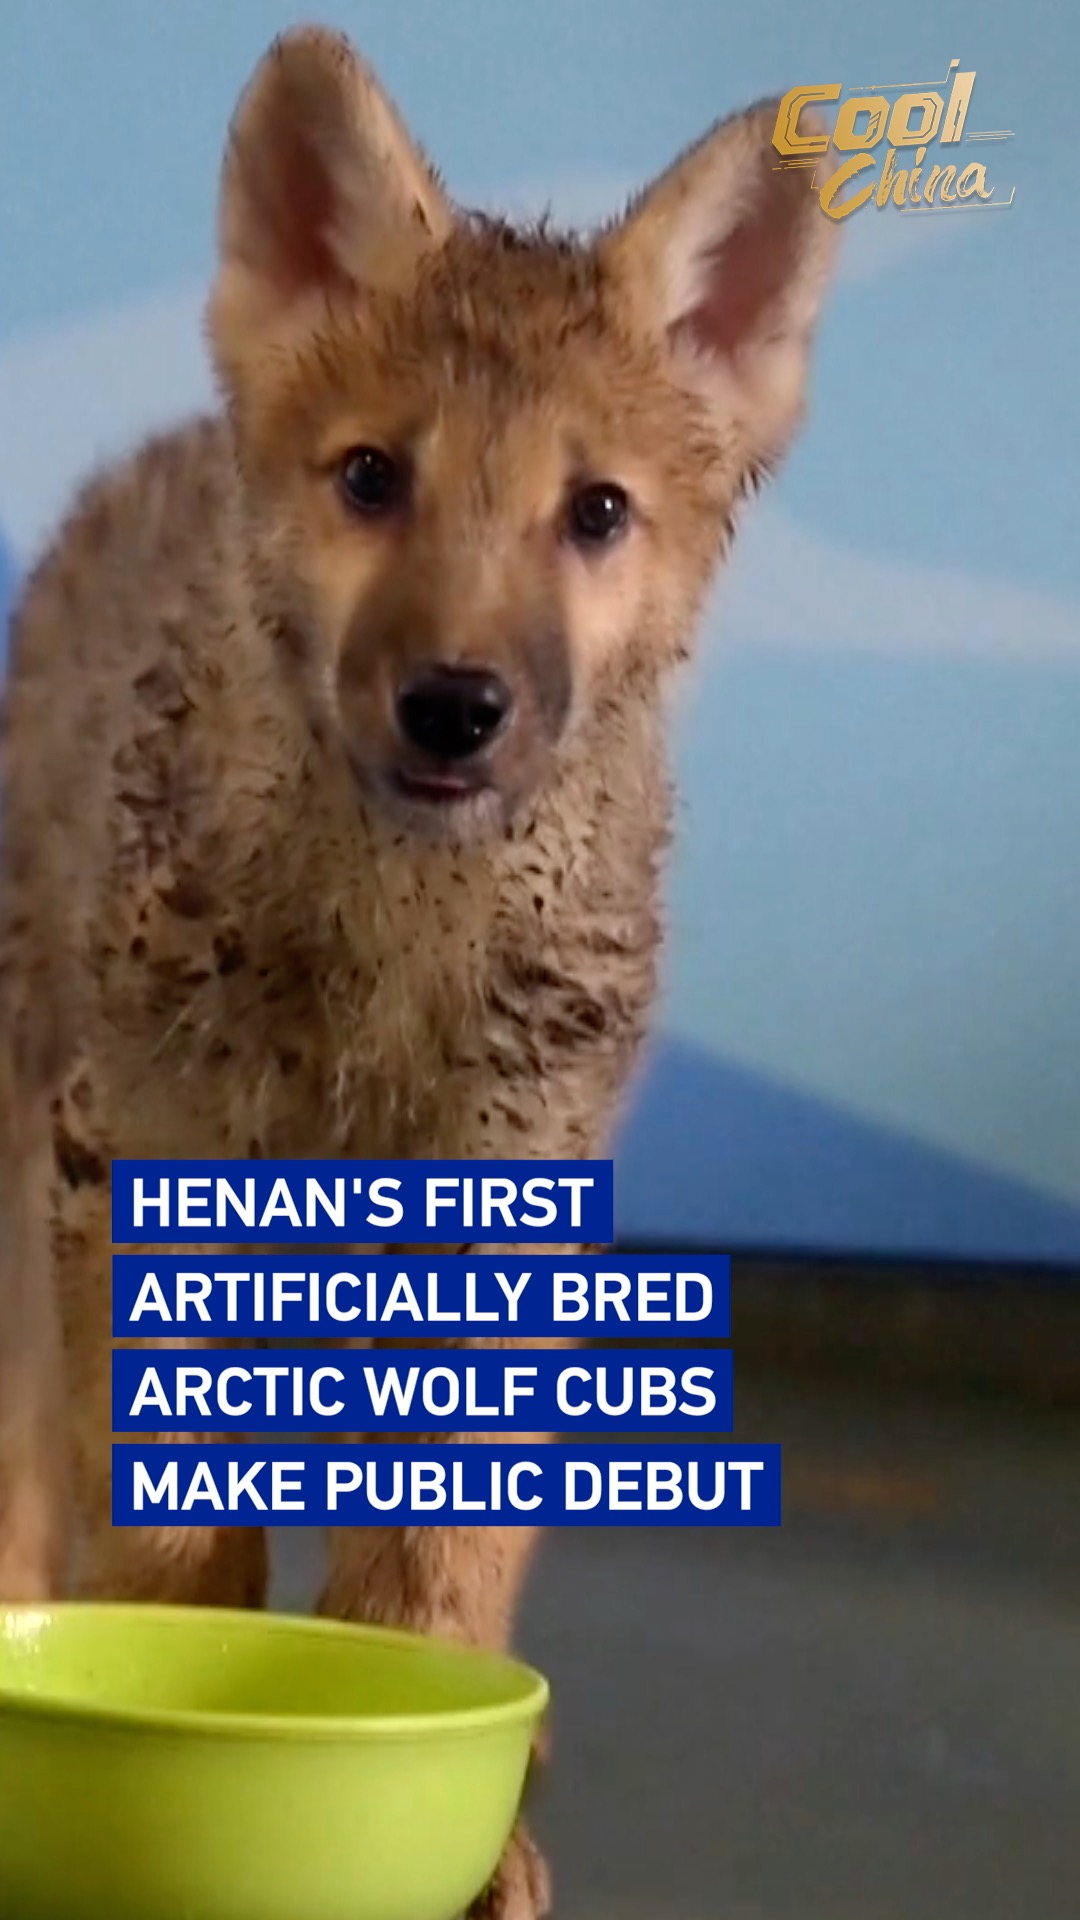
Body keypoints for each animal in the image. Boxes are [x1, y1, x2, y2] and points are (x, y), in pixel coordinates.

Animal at [0, 25, 838, 1915]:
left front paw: (453, 1803)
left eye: (594, 513)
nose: (456, 704)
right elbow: (173, 1551)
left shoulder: (503, 1213)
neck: (392, 958)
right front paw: (156, 1728)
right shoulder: (140, 1180)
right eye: (374, 479)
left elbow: (429, 1582)